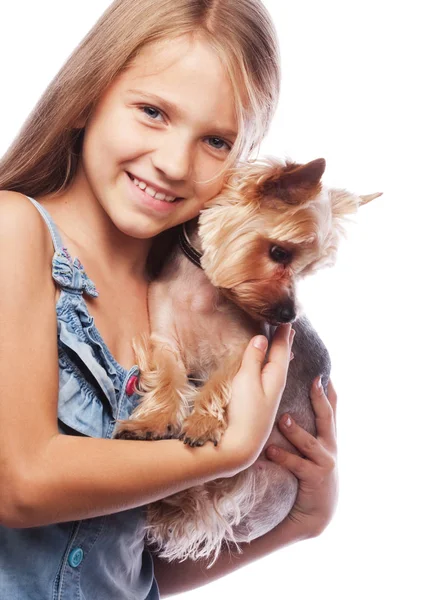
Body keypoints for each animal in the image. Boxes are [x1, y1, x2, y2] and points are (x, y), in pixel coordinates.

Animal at [114, 157, 380, 564]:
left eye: (305, 270)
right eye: (280, 253)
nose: (288, 315)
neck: (204, 289)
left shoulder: (245, 348)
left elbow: (217, 384)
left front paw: (202, 423)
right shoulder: (165, 339)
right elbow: (169, 378)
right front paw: (154, 422)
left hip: (252, 479)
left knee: (201, 500)